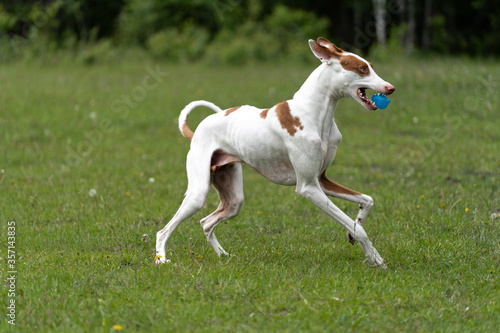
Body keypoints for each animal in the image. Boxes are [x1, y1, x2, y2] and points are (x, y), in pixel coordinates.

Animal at [155, 37, 394, 266]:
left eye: (371, 66)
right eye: (362, 69)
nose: (390, 88)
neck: (313, 113)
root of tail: (196, 130)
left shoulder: (321, 180)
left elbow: (367, 202)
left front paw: (355, 231)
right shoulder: (308, 187)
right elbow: (357, 227)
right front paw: (374, 258)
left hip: (234, 199)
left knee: (206, 223)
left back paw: (224, 255)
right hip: (198, 193)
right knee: (163, 231)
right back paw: (162, 259)